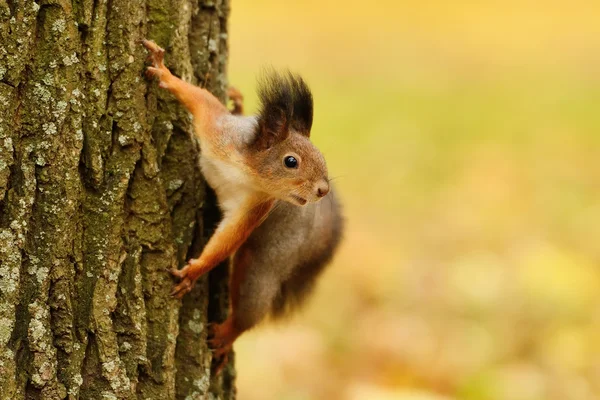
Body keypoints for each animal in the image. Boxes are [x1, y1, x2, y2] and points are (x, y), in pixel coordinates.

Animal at [141, 39, 344, 370]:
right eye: (291, 162)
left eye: (322, 157)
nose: (323, 189)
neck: (247, 172)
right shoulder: (219, 131)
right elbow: (200, 99)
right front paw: (164, 73)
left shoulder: (255, 207)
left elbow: (228, 238)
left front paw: (194, 272)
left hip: (269, 261)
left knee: (251, 306)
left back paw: (227, 334)